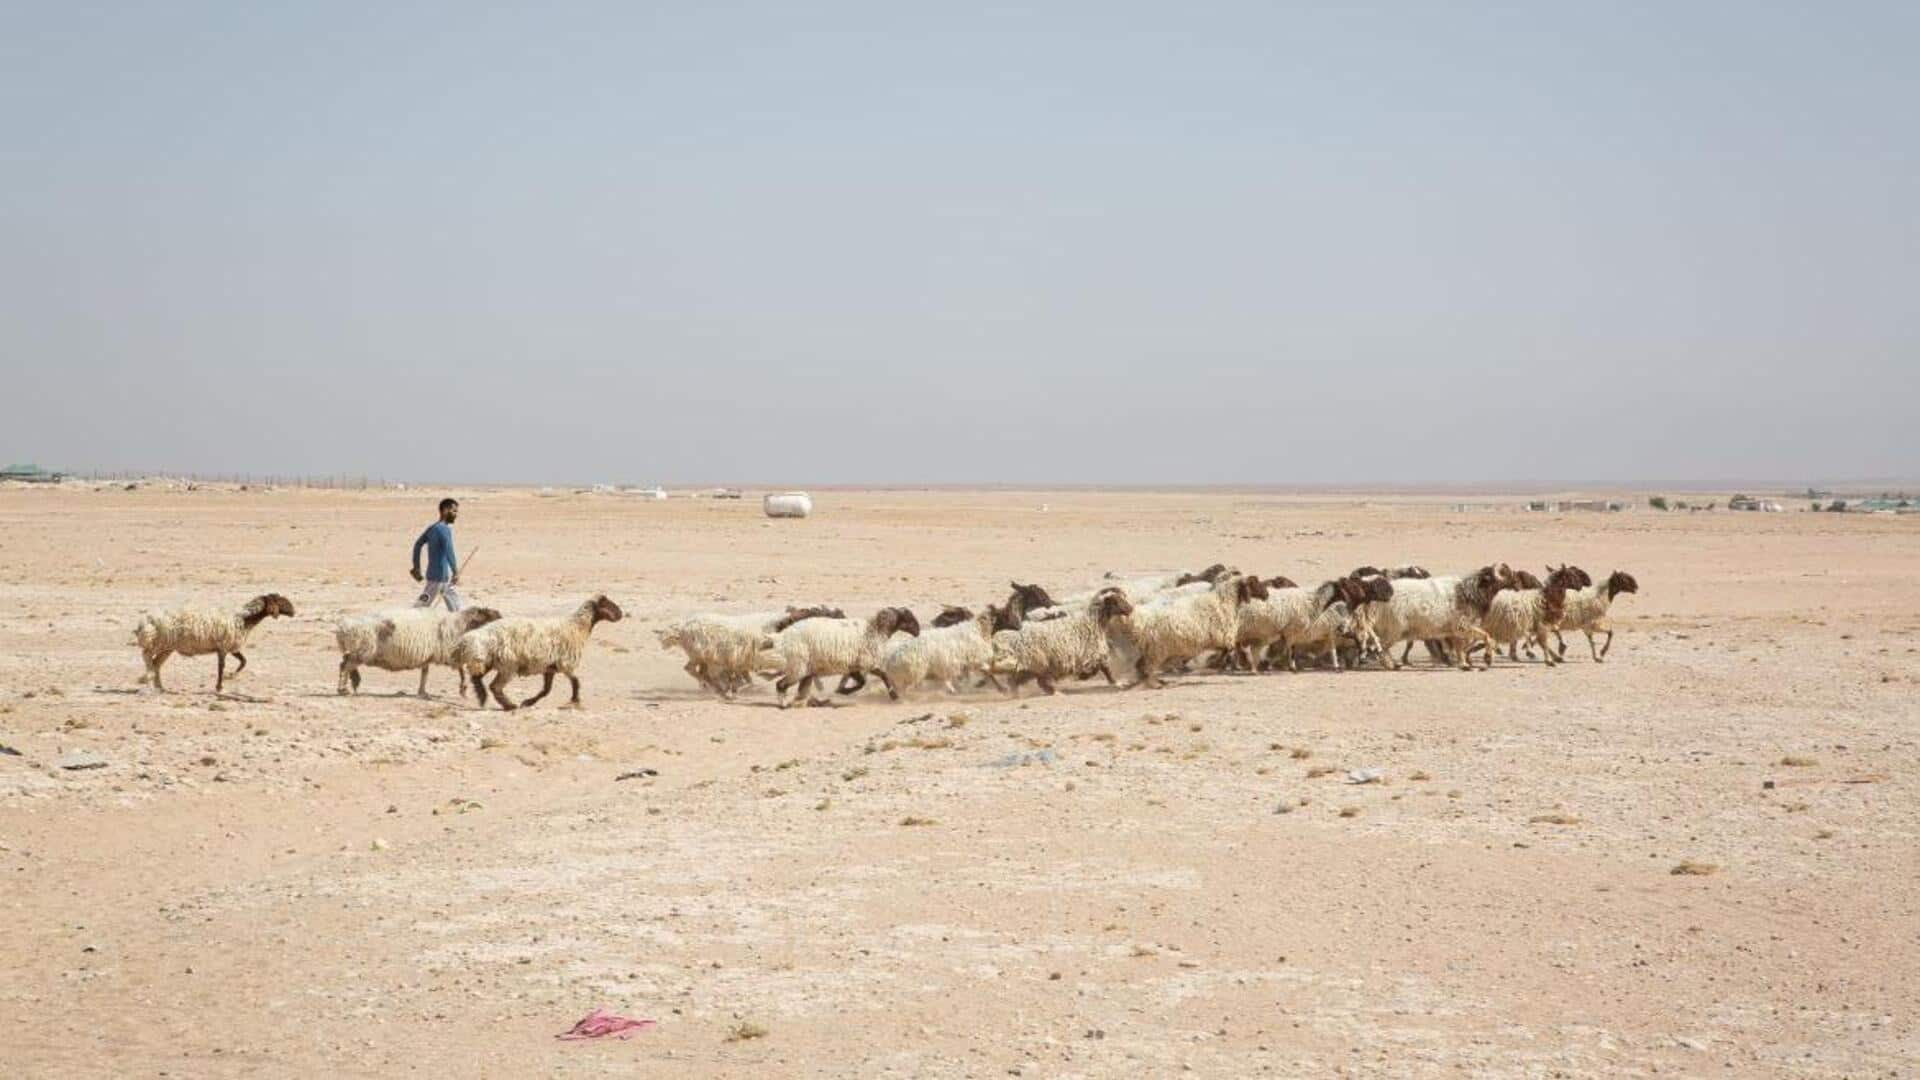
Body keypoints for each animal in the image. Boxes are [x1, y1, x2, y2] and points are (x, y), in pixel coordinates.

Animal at [136, 588, 295, 687]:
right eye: (280, 601)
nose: (293, 611)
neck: (243, 620)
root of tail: (147, 622)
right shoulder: (223, 647)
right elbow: (221, 666)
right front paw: (219, 686)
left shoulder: (231, 647)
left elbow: (243, 661)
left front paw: (230, 676)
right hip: (158, 643)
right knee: (147, 656)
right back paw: (147, 678)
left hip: (167, 648)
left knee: (156, 663)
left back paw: (159, 687)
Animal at [336, 599, 503, 691]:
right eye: (490, 617)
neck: (458, 625)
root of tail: (344, 628)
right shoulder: (448, 653)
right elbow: (461, 669)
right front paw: (463, 688)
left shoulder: (429, 656)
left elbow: (425, 673)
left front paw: (422, 691)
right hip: (363, 651)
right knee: (345, 665)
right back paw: (342, 689)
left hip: (358, 651)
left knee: (345, 663)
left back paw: (350, 684)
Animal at [453, 588, 625, 707]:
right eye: (608, 604)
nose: (621, 614)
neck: (577, 627)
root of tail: (478, 635)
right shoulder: (566, 663)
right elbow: (576, 682)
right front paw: (575, 699)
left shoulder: (550, 667)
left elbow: (546, 690)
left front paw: (528, 702)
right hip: (508, 664)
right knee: (495, 686)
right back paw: (509, 705)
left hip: (490, 660)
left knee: (477, 678)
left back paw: (482, 698)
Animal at [752, 607, 917, 707]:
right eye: (908, 618)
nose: (917, 631)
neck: (875, 631)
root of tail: (782, 636)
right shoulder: (861, 664)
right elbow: (867, 681)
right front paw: (843, 691)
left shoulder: (857, 665)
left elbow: (879, 677)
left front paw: (895, 696)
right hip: (798, 666)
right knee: (781, 684)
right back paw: (784, 704)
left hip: (803, 669)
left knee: (796, 687)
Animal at [983, 588, 1128, 687]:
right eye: (1116, 601)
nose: (1130, 609)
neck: (1092, 622)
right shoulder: (1092, 653)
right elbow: (1101, 668)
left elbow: (1103, 668)